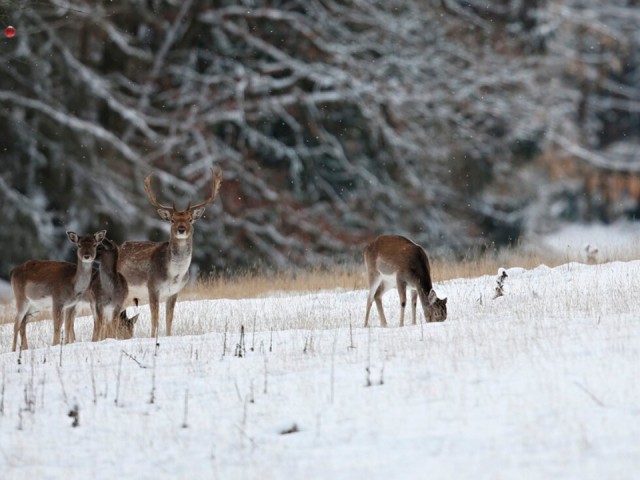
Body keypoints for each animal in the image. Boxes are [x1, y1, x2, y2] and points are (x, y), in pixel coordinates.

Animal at [117, 168, 222, 338]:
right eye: (172, 220)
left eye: (190, 219)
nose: (181, 229)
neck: (174, 274)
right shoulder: (153, 287)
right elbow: (155, 320)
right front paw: (153, 338)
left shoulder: (174, 292)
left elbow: (169, 319)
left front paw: (168, 336)